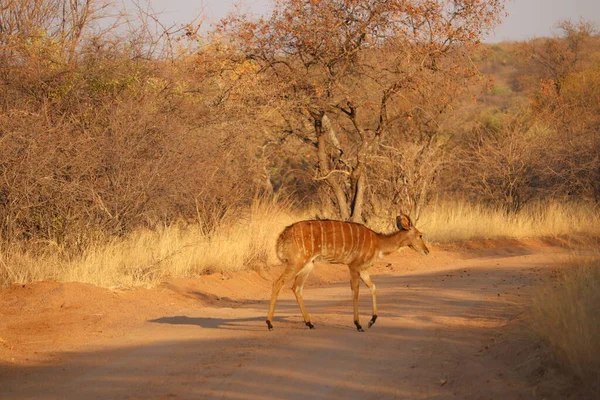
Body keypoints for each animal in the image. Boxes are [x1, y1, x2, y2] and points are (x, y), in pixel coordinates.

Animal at [264, 216, 428, 332]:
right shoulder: (354, 266)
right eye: (420, 235)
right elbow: (356, 292)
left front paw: (371, 321)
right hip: (297, 262)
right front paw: (358, 325)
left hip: (308, 264)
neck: (378, 243)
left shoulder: (363, 269)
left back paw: (310, 323)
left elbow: (373, 287)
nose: (427, 251)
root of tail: (281, 238)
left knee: (296, 288)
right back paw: (270, 323)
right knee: (277, 283)